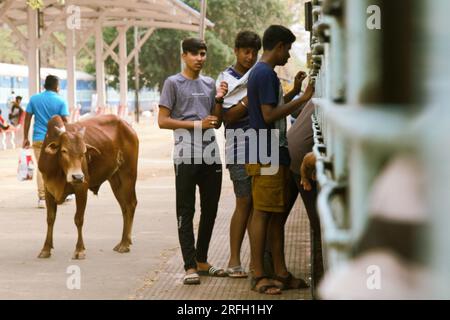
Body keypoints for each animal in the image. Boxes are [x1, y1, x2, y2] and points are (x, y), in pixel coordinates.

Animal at [37, 115, 138, 260]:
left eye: (83, 152)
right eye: (64, 151)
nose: (77, 177)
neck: (58, 169)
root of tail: (127, 126)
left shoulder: (81, 188)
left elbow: (78, 219)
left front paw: (79, 250)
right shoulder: (48, 189)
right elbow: (50, 219)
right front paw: (45, 249)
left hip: (128, 174)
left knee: (131, 204)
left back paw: (125, 244)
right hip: (115, 180)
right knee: (124, 207)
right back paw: (124, 241)